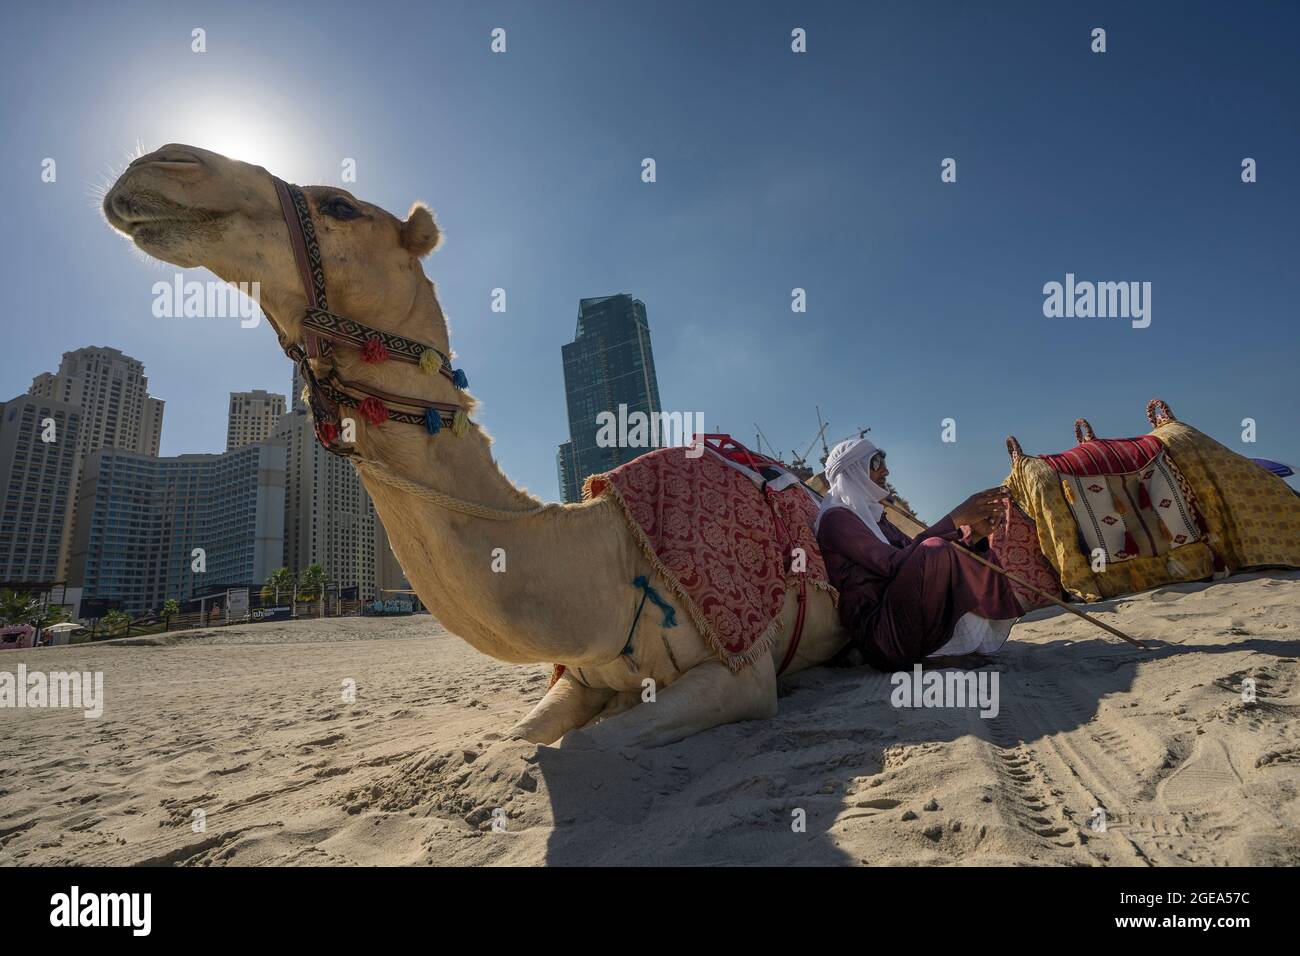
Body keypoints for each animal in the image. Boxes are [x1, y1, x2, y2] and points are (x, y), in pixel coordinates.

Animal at [104, 145, 852, 749]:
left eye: (341, 205)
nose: (162, 163)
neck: (612, 556)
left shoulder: (740, 673)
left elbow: (595, 744)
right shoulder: (579, 676)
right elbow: (520, 741)